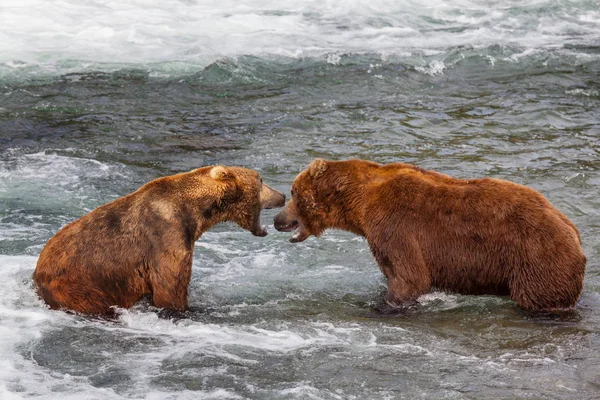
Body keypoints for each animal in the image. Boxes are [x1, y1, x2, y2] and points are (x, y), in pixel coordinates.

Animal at [276, 159, 584, 312]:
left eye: (293, 192)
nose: (279, 219)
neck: (359, 204)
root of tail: (574, 231)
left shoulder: (396, 226)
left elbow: (410, 277)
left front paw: (381, 305)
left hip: (536, 257)